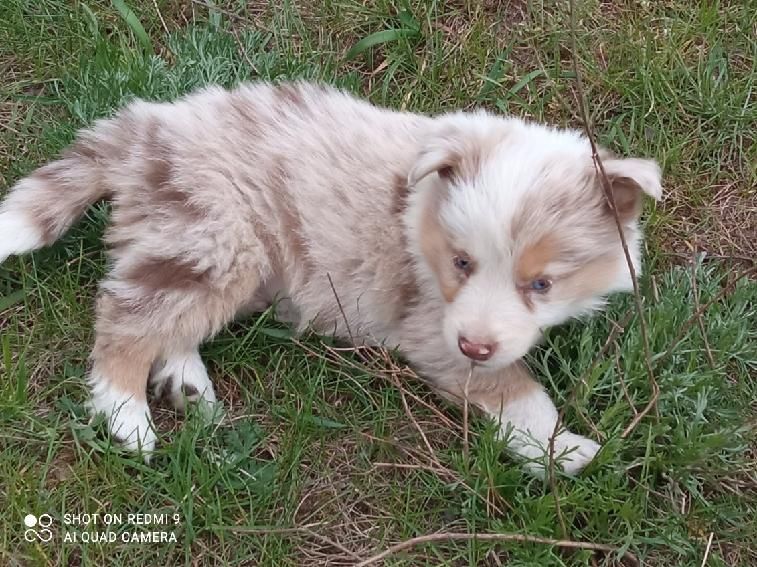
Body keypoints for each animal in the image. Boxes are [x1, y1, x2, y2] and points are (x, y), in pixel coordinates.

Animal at [0, 81, 660, 474]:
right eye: (461, 263)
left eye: (541, 284)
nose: (475, 343)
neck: (420, 215)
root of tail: (148, 128)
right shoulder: (431, 326)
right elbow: (518, 393)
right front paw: (566, 452)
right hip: (220, 234)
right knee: (128, 318)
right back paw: (127, 417)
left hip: (211, 247)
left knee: (169, 312)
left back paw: (186, 383)